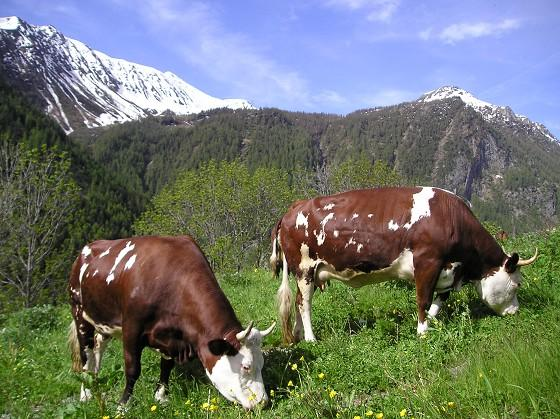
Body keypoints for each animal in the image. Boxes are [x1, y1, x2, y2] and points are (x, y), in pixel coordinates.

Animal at [68, 236, 276, 410]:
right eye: (246, 366)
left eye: (262, 363)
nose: (262, 402)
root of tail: (87, 249)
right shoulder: (132, 329)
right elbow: (133, 369)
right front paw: (123, 405)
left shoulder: (172, 338)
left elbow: (166, 366)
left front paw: (161, 396)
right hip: (79, 313)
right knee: (85, 353)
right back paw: (86, 393)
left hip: (103, 321)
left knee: (97, 346)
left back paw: (95, 380)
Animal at [272, 189, 540, 342]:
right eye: (517, 284)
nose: (516, 312)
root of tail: (295, 206)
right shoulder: (427, 262)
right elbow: (423, 299)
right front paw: (422, 332)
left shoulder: (447, 269)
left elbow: (440, 300)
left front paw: (431, 323)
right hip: (305, 268)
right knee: (304, 303)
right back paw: (310, 338)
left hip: (306, 272)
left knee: (297, 301)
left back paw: (297, 334)